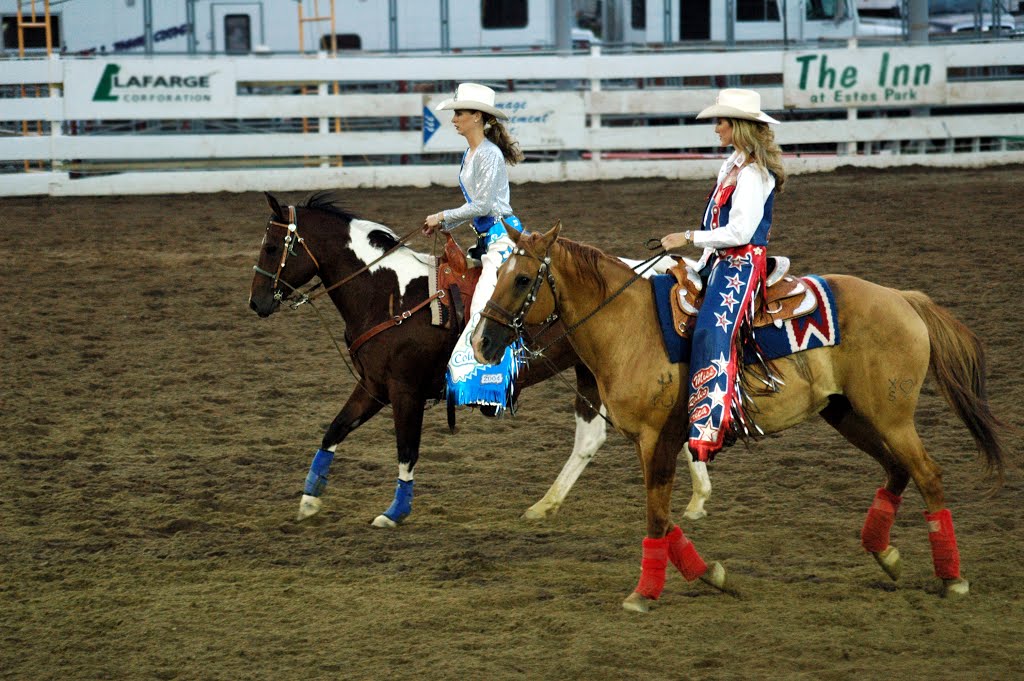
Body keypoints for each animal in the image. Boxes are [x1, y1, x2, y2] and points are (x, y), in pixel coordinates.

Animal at [247, 191, 712, 524]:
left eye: (271, 247)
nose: (257, 303)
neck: (389, 294)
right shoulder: (373, 386)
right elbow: (333, 431)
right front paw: (309, 498)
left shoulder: (405, 391)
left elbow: (406, 449)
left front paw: (395, 512)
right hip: (588, 371)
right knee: (595, 438)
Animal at [473, 223, 1007, 610]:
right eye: (495, 275)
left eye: (523, 279)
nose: (482, 342)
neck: (628, 326)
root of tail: (903, 298)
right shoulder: (647, 442)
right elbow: (663, 517)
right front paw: (710, 574)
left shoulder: (657, 439)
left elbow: (656, 516)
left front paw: (644, 593)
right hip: (848, 413)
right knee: (897, 470)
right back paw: (888, 556)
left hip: (891, 416)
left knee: (927, 474)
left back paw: (952, 579)